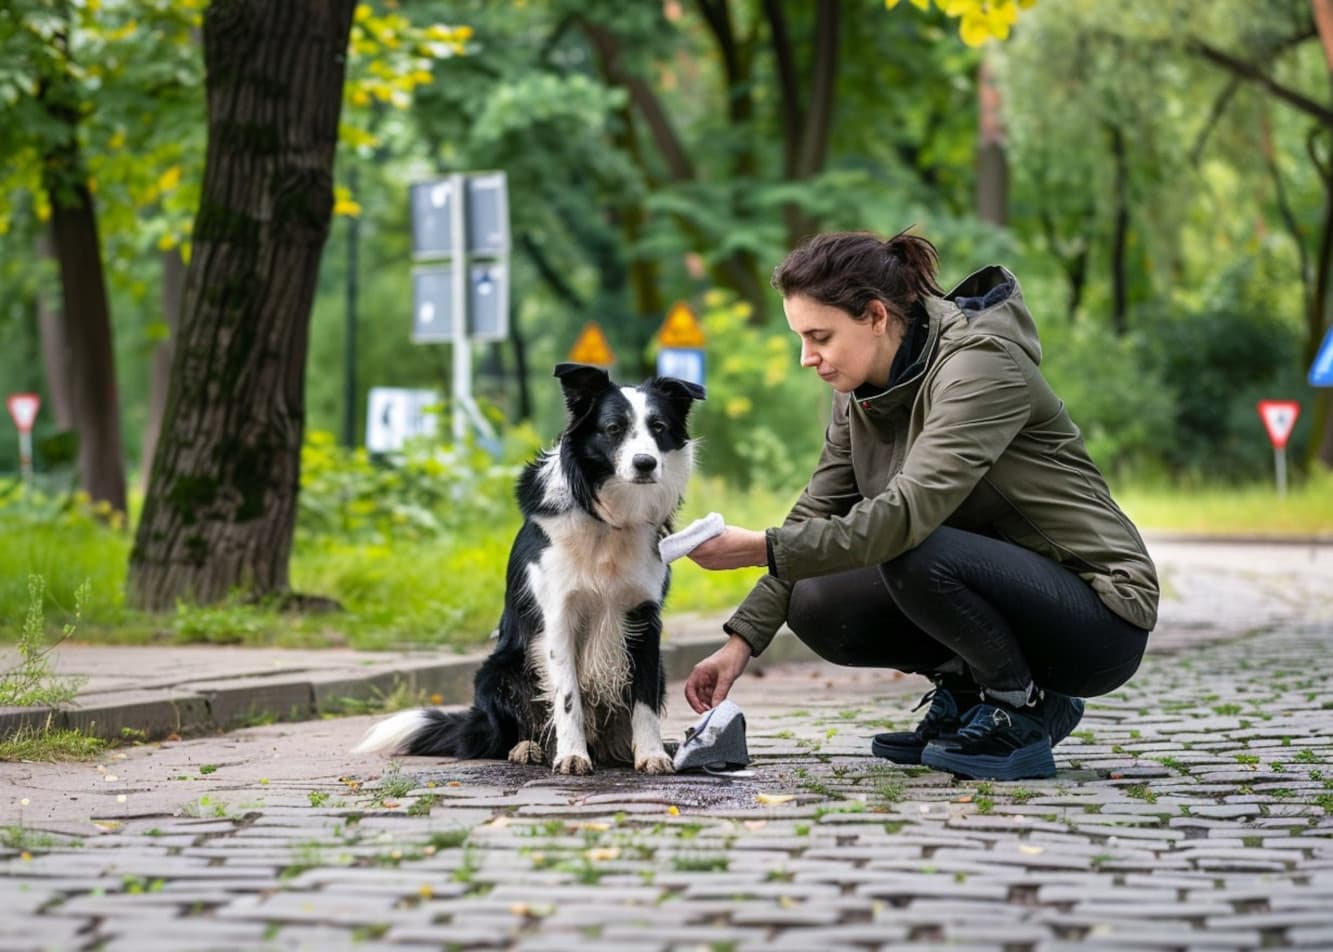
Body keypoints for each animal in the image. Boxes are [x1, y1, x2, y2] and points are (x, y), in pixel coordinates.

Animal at [354, 362, 709, 773]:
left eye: (659, 427)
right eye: (613, 428)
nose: (646, 463)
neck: (607, 518)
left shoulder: (644, 617)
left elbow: (644, 700)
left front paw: (651, 754)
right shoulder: (558, 616)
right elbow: (568, 698)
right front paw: (571, 756)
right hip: (498, 669)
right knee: (508, 732)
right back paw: (528, 748)